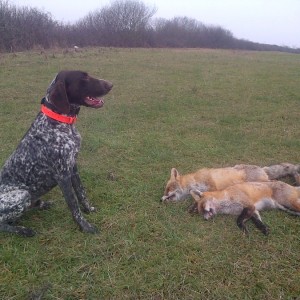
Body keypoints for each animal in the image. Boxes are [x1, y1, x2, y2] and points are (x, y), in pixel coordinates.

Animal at [0, 71, 112, 237]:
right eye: (84, 77)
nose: (111, 84)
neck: (60, 122)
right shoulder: (62, 176)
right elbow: (74, 205)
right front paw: (85, 226)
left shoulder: (73, 168)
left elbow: (81, 193)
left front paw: (89, 210)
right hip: (22, 194)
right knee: (3, 223)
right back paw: (23, 230)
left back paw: (42, 204)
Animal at [162, 163, 300, 203]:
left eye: (168, 189)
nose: (161, 199)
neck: (193, 181)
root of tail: (262, 168)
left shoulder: (210, 183)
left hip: (261, 181)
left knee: (276, 182)